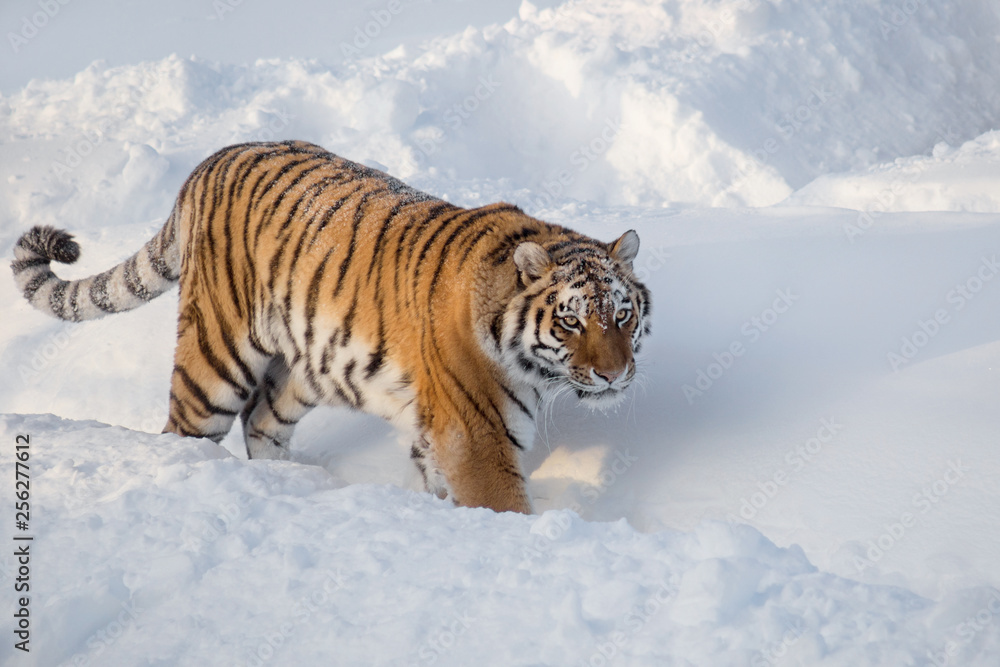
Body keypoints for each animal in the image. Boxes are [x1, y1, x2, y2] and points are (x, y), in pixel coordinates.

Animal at [11, 140, 651, 514]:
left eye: (622, 315)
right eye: (570, 321)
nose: (615, 375)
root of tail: (211, 158)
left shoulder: (437, 431)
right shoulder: (478, 437)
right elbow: (502, 505)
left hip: (308, 367)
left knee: (261, 418)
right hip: (215, 361)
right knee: (185, 429)